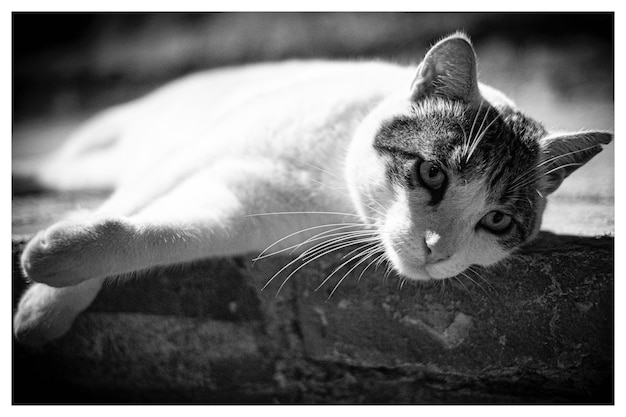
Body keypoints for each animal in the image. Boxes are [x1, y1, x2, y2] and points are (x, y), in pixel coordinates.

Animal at [13, 31, 608, 344]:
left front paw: (55, 274)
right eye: (433, 173)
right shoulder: (193, 154)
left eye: (497, 220)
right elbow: (127, 205)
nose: (437, 250)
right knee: (60, 166)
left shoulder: (240, 210)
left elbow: (158, 236)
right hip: (113, 146)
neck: (330, 167)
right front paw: (46, 299)